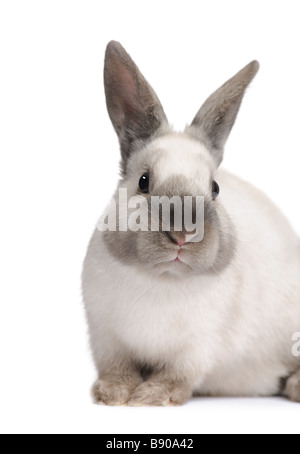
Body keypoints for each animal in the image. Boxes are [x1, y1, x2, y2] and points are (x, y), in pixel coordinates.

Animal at [82, 40, 300, 406]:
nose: (182, 235)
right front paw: (111, 394)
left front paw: (151, 396)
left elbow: (177, 376)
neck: (163, 279)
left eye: (215, 188)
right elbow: (118, 368)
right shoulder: (107, 339)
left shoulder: (198, 348)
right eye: (143, 181)